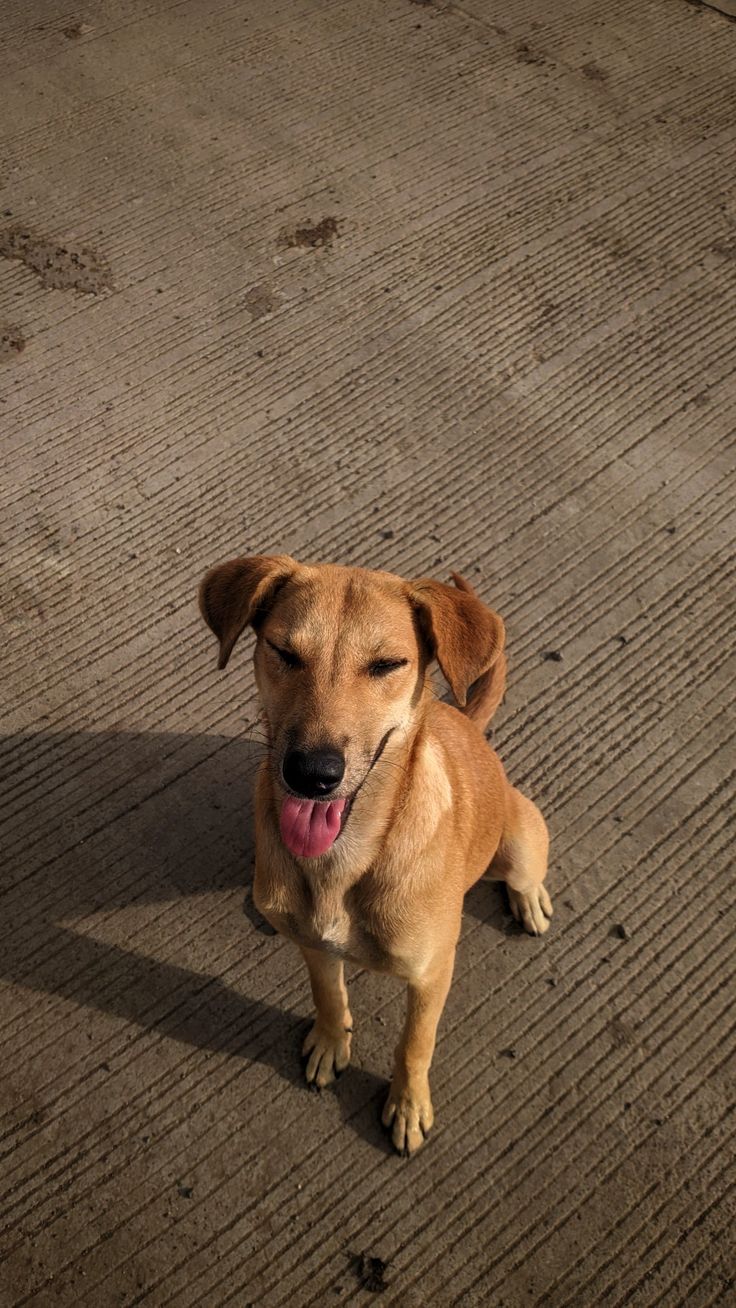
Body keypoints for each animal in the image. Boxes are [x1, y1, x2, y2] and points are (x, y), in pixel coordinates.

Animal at [198, 551, 549, 1156]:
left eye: (387, 665)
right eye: (284, 652)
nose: (312, 773)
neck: (346, 860)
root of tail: (466, 721)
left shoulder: (432, 975)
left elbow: (414, 1045)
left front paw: (407, 1106)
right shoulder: (315, 944)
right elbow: (327, 993)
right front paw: (330, 1040)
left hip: (521, 840)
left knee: (526, 871)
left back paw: (529, 901)